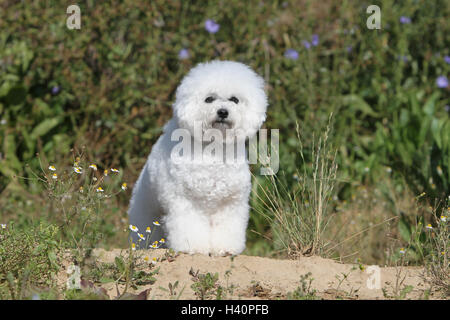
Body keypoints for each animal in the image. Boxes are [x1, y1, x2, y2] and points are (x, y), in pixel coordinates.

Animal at [126, 59, 268, 255]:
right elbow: (189, 227)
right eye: (209, 99)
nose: (223, 112)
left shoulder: (230, 204)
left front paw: (225, 248)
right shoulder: (186, 202)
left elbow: (227, 229)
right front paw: (193, 247)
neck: (213, 150)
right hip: (146, 218)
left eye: (234, 99)